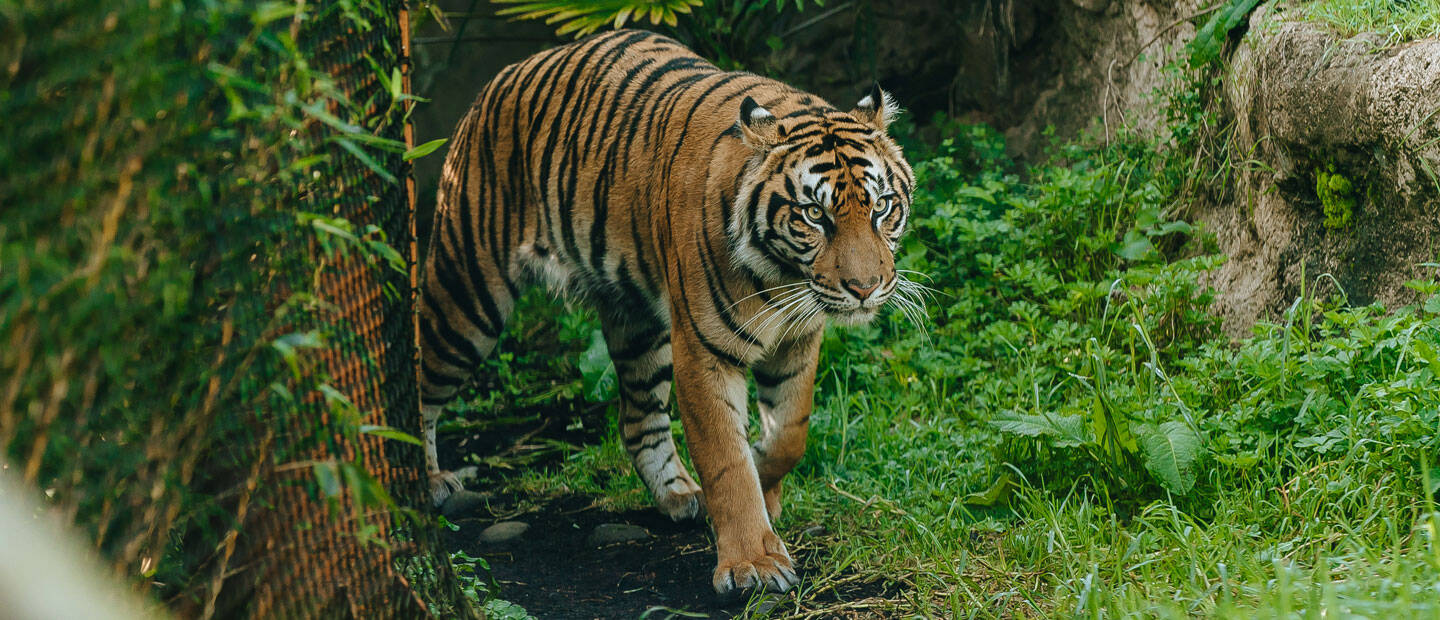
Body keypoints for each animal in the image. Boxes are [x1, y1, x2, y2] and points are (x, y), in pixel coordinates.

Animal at [417, 28, 915, 595]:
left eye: (881, 207)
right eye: (814, 214)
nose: (864, 288)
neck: (784, 275)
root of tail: (501, 77)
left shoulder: (796, 340)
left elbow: (790, 434)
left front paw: (765, 484)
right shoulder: (703, 350)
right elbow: (725, 459)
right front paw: (752, 561)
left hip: (636, 323)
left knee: (638, 420)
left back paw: (680, 495)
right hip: (466, 292)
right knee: (419, 371)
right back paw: (428, 479)